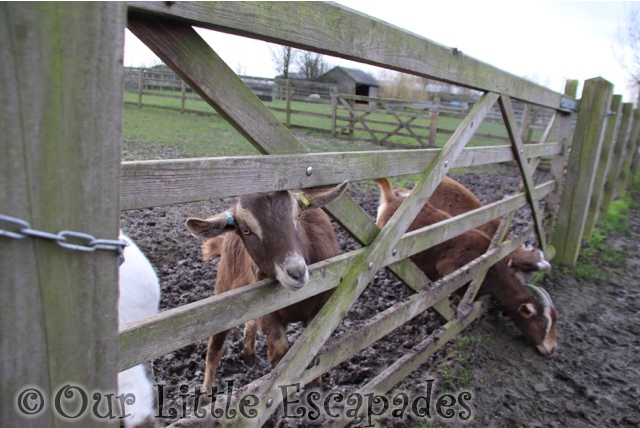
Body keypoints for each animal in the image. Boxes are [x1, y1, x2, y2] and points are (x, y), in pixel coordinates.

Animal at [185, 182, 348, 400]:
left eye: (297, 216)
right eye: (246, 230)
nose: (296, 272)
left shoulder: (323, 307)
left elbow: (313, 345)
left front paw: (315, 388)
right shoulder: (268, 312)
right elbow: (279, 351)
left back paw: (249, 356)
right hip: (224, 288)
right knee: (214, 348)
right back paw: (205, 396)